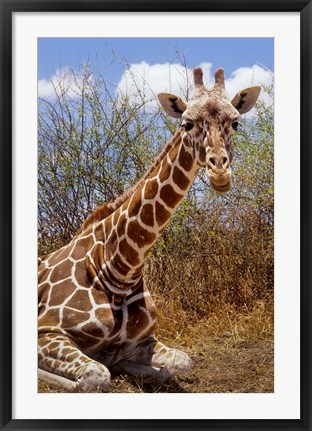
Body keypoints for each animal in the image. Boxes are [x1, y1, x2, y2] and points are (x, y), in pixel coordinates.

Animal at [37, 66, 260, 392]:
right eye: (187, 123)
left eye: (236, 123)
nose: (219, 171)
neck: (118, 267)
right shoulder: (46, 330)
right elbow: (94, 376)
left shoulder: (143, 339)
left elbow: (181, 361)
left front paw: (127, 364)